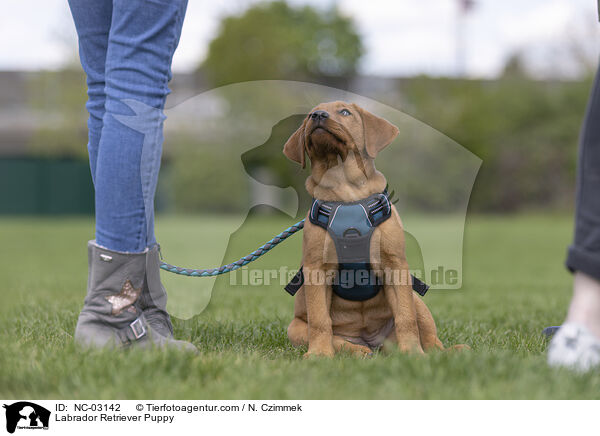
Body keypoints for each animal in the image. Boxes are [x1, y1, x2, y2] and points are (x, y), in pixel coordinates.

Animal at [284, 102, 466, 358]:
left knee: (430, 337)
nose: (318, 115)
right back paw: (357, 350)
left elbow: (406, 318)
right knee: (335, 338)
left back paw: (448, 351)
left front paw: (412, 352)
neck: (346, 191)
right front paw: (319, 354)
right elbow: (320, 320)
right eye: (310, 114)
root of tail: (370, 339)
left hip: (417, 301)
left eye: (345, 112)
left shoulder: (394, 264)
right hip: (296, 328)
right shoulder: (316, 268)